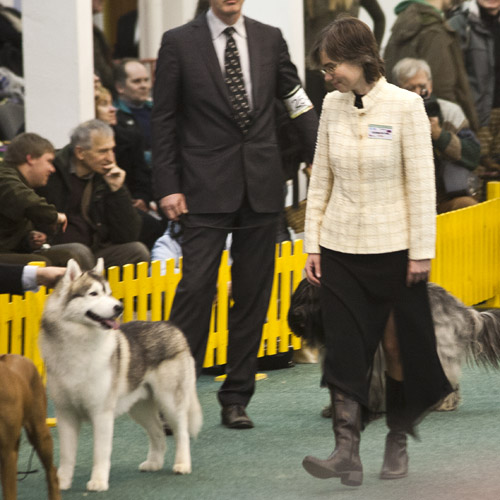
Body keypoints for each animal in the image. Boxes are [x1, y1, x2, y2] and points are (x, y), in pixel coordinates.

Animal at [39, 262, 202, 492]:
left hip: (170, 401)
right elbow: (66, 454)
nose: (119, 307)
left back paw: (182, 464)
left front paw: (98, 482)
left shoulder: (101, 413)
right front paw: (61, 482)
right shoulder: (66, 414)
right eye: (94, 293)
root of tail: (172, 327)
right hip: (139, 408)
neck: (78, 344)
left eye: (109, 292)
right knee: (158, 432)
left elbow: (100, 453)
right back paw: (153, 463)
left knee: (182, 433)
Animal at [288, 280, 500, 412]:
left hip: (438, 348)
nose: (297, 314)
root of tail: (462, 309)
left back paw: (442, 403)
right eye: (299, 298)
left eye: (314, 300)